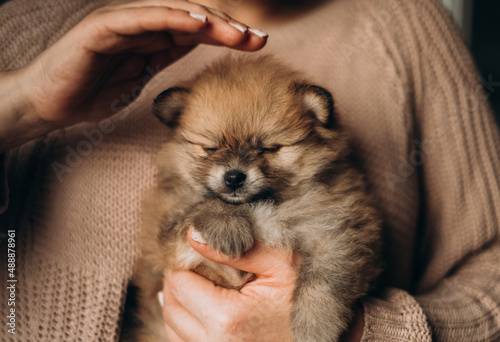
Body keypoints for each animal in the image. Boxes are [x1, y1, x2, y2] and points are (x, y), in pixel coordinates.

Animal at [122, 55, 382, 342]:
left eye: (267, 148)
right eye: (210, 148)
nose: (234, 177)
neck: (261, 205)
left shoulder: (333, 230)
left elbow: (326, 280)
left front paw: (314, 327)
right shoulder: (168, 232)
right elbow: (205, 204)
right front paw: (227, 226)